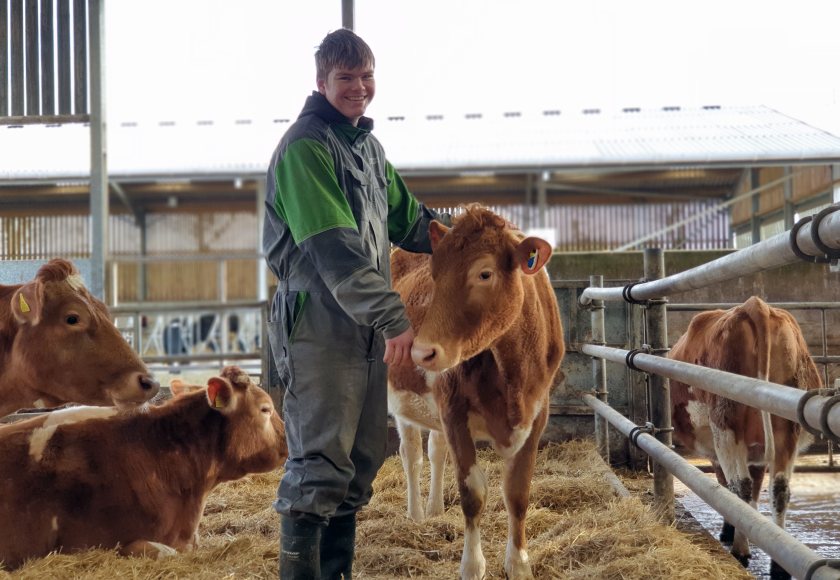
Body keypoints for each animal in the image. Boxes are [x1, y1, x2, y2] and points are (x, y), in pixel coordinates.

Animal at [388, 207, 564, 580]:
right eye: (435, 275)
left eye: (484, 273)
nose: (421, 352)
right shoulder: (454, 411)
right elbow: (473, 494)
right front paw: (472, 565)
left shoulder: (537, 415)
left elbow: (518, 493)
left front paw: (518, 564)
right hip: (404, 402)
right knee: (411, 455)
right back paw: (416, 514)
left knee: (435, 451)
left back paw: (435, 508)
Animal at [668, 296, 820, 576]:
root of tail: (755, 304)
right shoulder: (757, 452)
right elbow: (757, 485)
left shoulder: (719, 450)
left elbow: (726, 484)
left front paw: (730, 531)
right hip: (786, 432)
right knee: (779, 490)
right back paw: (778, 566)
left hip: (726, 427)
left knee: (740, 486)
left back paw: (740, 550)